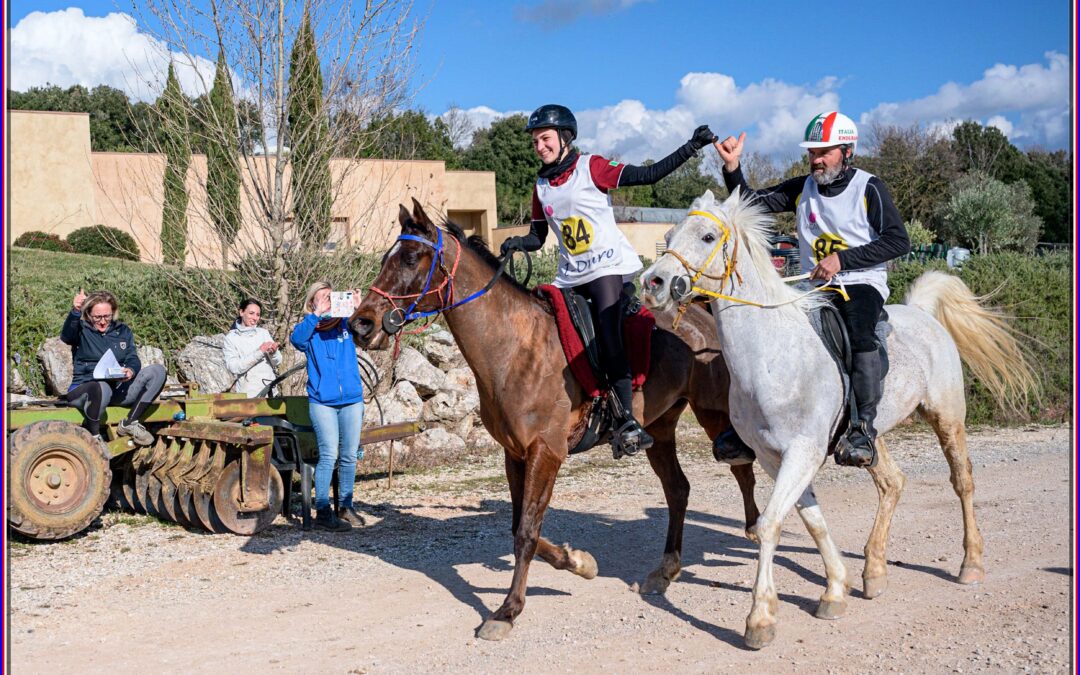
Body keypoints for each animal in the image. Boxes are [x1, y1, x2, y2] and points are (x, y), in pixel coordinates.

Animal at [349, 198, 756, 635]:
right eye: (387, 257)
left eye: (410, 257)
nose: (360, 324)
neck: (513, 349)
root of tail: (704, 318)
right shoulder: (515, 454)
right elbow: (519, 525)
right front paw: (577, 562)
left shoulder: (547, 452)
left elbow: (527, 530)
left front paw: (508, 610)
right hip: (660, 428)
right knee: (678, 489)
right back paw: (665, 570)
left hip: (715, 414)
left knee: (742, 466)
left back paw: (754, 529)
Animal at [639, 187, 1036, 648]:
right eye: (668, 235)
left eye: (706, 236)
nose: (653, 284)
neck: (772, 355)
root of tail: (921, 312)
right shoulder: (775, 457)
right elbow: (810, 519)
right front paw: (834, 589)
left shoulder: (803, 452)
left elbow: (772, 524)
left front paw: (760, 617)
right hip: (870, 435)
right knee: (892, 482)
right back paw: (874, 571)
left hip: (948, 417)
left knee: (962, 482)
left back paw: (970, 563)